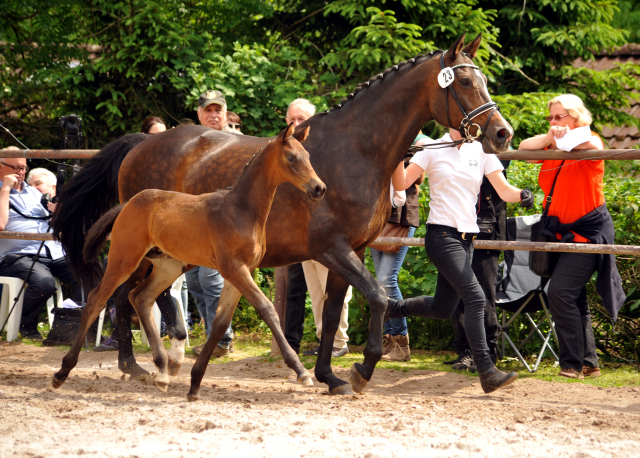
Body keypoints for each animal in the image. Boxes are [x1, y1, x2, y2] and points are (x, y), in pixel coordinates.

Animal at [52, 123, 322, 392]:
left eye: (308, 156)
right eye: (291, 158)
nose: (319, 188)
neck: (241, 209)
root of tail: (127, 204)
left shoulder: (243, 271)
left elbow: (221, 322)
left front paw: (196, 376)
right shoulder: (234, 269)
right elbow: (267, 309)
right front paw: (300, 371)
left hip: (167, 267)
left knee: (139, 297)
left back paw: (161, 369)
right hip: (124, 259)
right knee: (97, 300)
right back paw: (63, 371)